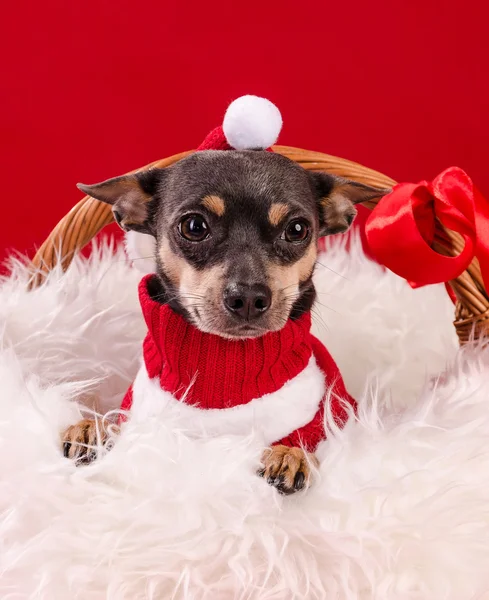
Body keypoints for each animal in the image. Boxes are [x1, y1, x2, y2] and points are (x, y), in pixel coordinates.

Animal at [62, 98, 388, 494]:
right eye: (193, 226)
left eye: (297, 229)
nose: (248, 298)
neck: (225, 370)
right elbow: (118, 421)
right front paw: (93, 426)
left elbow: (308, 435)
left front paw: (290, 453)